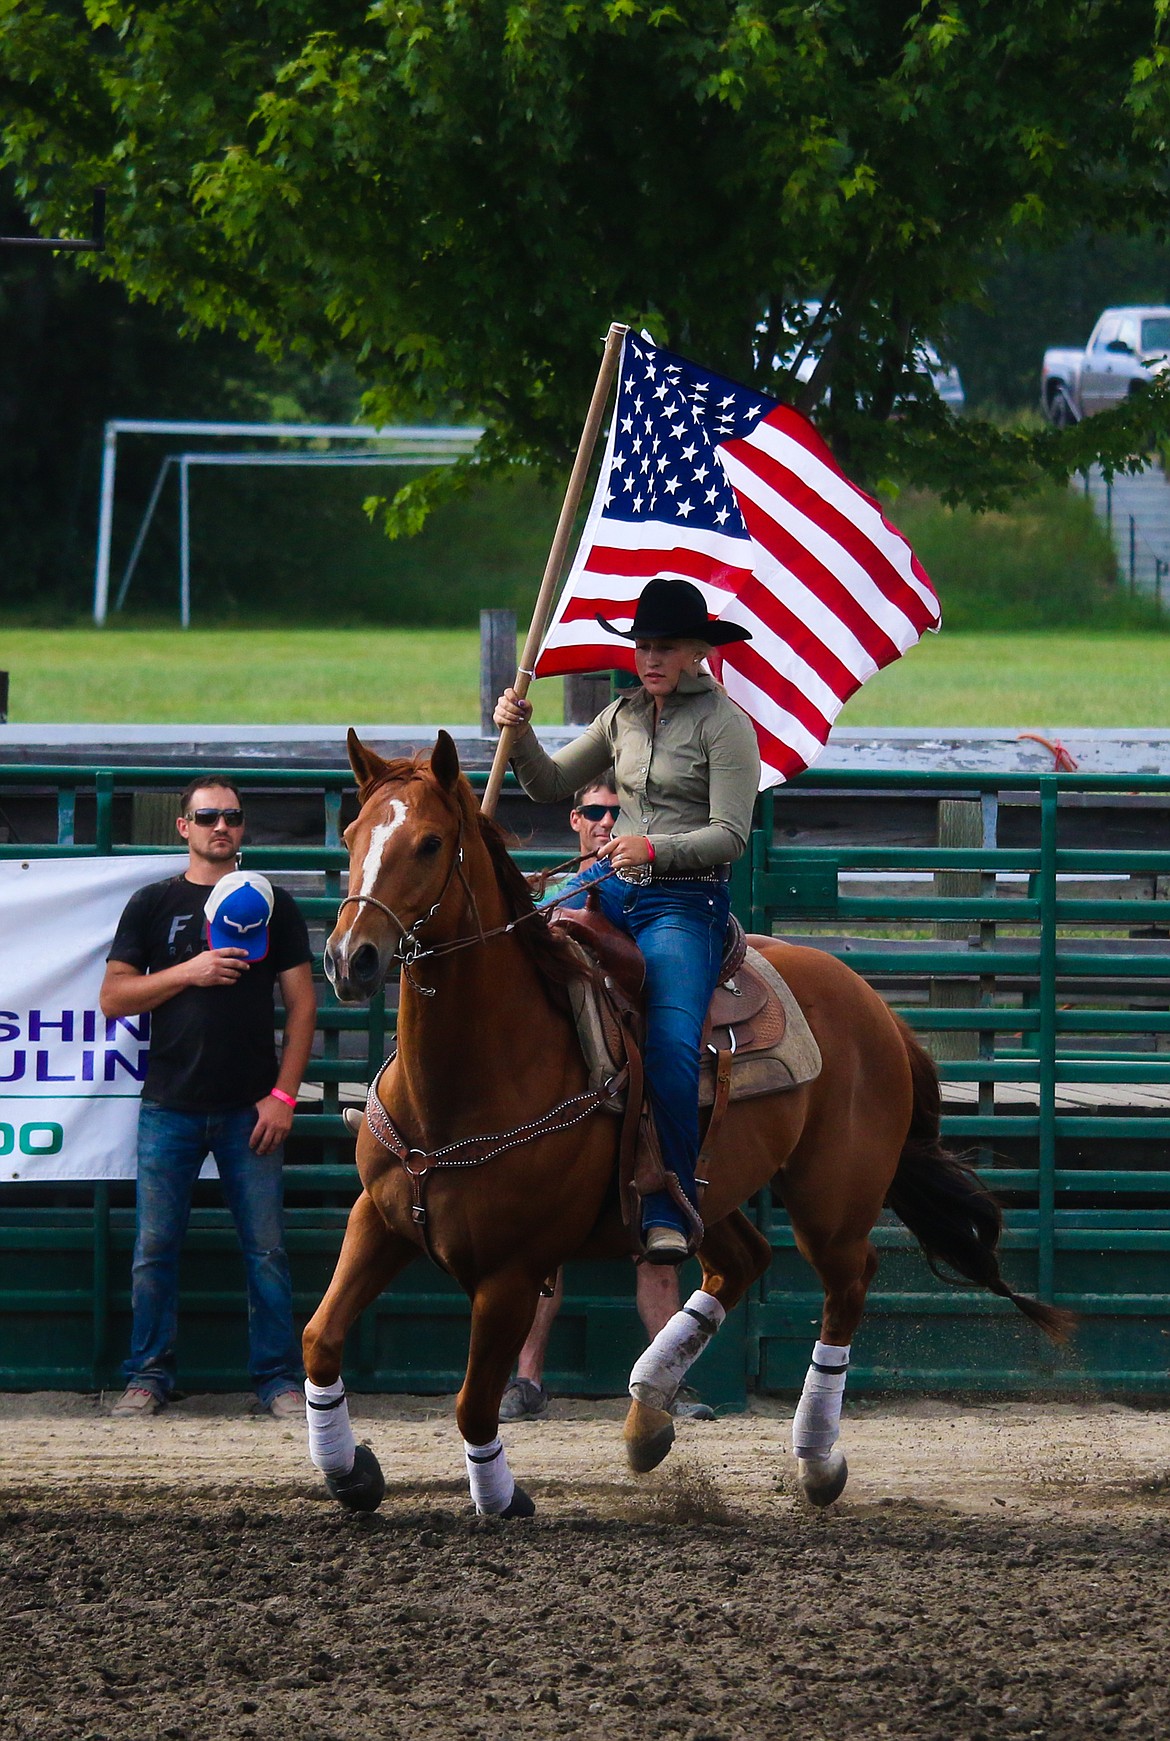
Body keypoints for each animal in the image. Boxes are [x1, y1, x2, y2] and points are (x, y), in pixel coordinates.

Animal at [304, 727, 1072, 1518]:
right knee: (742, 1259)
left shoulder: (511, 1273)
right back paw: (648, 1412)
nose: (348, 957)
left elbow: (473, 1403)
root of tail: (875, 1005)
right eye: (354, 834)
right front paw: (349, 1471)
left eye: (429, 844)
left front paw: (501, 1497)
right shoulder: (380, 1221)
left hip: (831, 1199)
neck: (469, 1080)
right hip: (699, 1186)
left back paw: (815, 1458)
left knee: (848, 1282)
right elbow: (320, 1338)